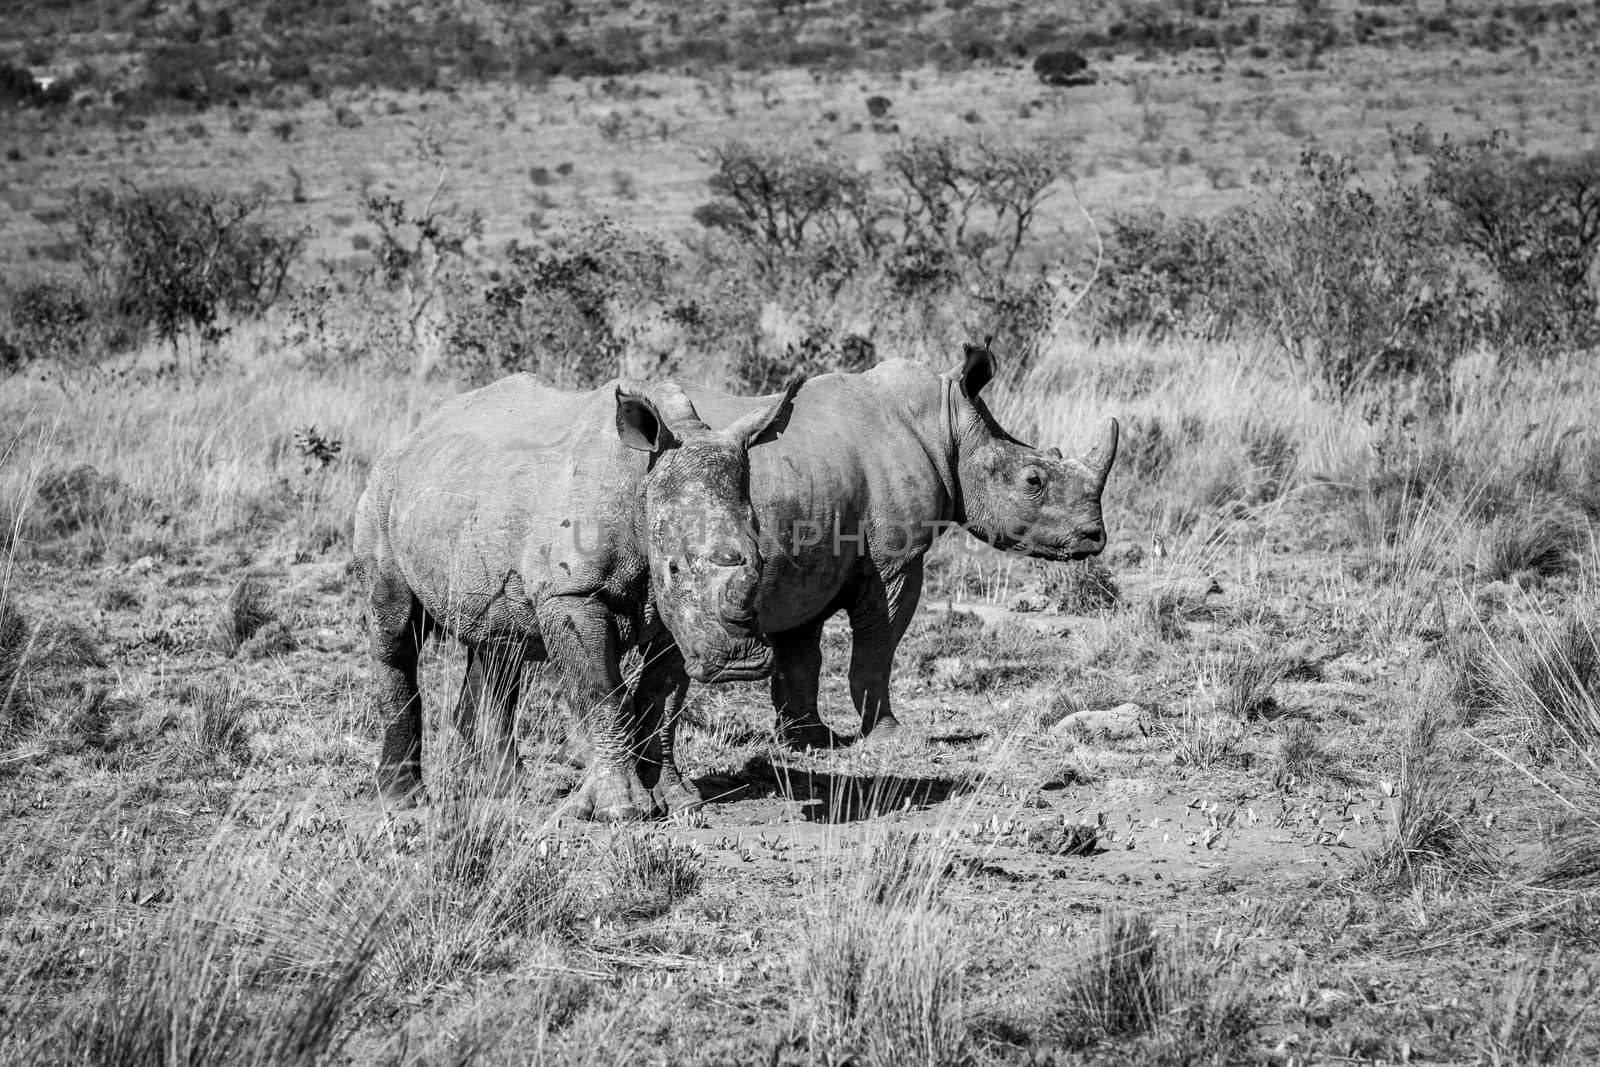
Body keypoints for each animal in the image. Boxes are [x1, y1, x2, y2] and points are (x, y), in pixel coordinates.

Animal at [617, 342, 1120, 793]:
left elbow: (801, 654)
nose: (1095, 537)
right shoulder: (895, 560)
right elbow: (878, 645)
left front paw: (810, 740)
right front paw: (891, 735)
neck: (946, 423)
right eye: (1034, 480)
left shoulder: (806, 560)